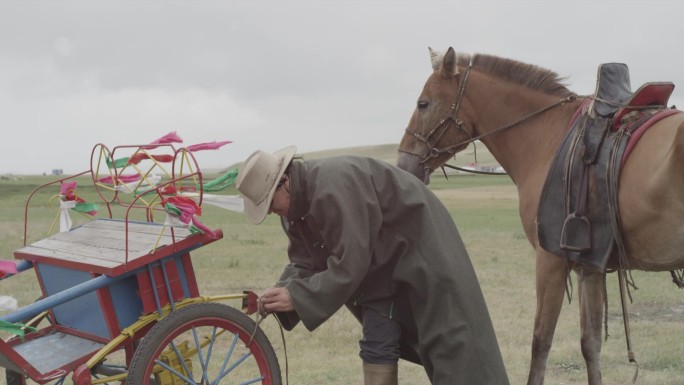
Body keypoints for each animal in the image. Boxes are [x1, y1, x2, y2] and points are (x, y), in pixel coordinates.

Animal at [396, 48, 684, 384]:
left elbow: (541, 343)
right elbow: (591, 344)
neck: (547, 138)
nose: (403, 164)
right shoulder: (590, 264)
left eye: (423, 103)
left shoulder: (551, 261)